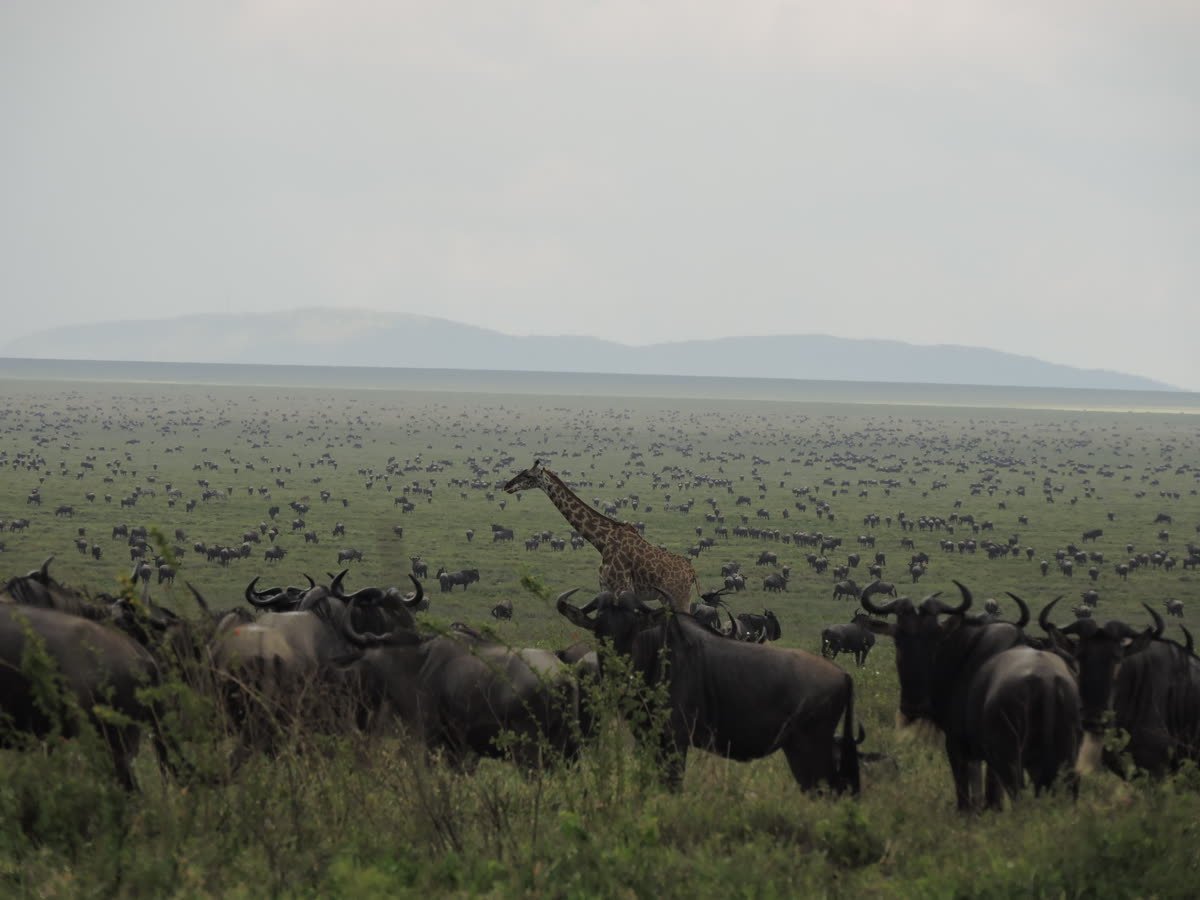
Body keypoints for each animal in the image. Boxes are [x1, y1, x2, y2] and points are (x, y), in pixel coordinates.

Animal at [503, 460, 700, 611]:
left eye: (528, 476)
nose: (507, 486)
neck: (602, 541)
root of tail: (692, 572)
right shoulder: (605, 587)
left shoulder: (622, 588)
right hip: (667, 599)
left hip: (680, 597)